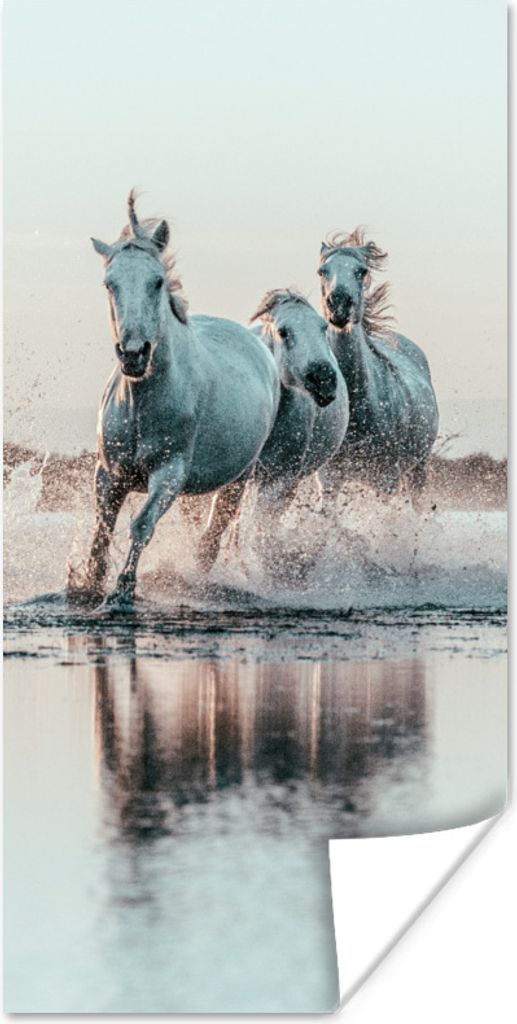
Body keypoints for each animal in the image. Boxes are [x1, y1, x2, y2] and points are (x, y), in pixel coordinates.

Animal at [68, 192, 280, 608]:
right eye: (109, 284)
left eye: (157, 281)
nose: (134, 353)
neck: (142, 404)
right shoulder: (108, 474)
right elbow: (102, 529)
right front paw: (88, 583)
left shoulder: (170, 473)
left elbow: (141, 525)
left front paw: (123, 590)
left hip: (239, 478)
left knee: (213, 534)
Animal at [197, 289, 349, 571]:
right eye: (283, 332)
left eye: (323, 327)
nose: (324, 379)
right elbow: (215, 527)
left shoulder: (282, 479)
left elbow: (260, 533)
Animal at [318, 229, 438, 497]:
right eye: (322, 271)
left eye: (361, 271)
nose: (338, 304)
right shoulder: (329, 478)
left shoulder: (386, 479)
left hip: (418, 469)